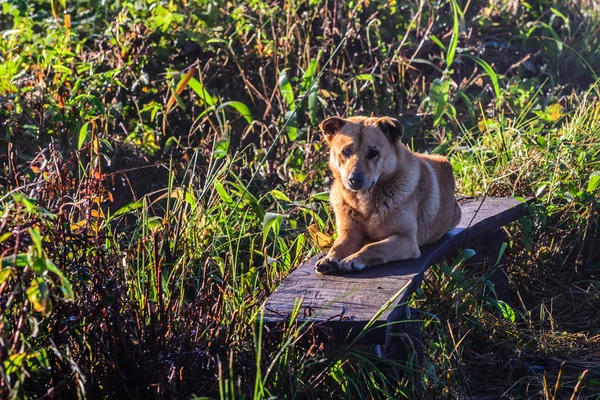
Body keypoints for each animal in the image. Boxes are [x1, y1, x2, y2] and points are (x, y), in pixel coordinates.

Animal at [316, 115, 462, 276]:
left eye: (373, 153)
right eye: (346, 151)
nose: (354, 179)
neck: (364, 201)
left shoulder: (406, 240)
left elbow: (373, 247)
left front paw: (353, 259)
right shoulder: (349, 233)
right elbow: (338, 245)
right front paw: (329, 258)